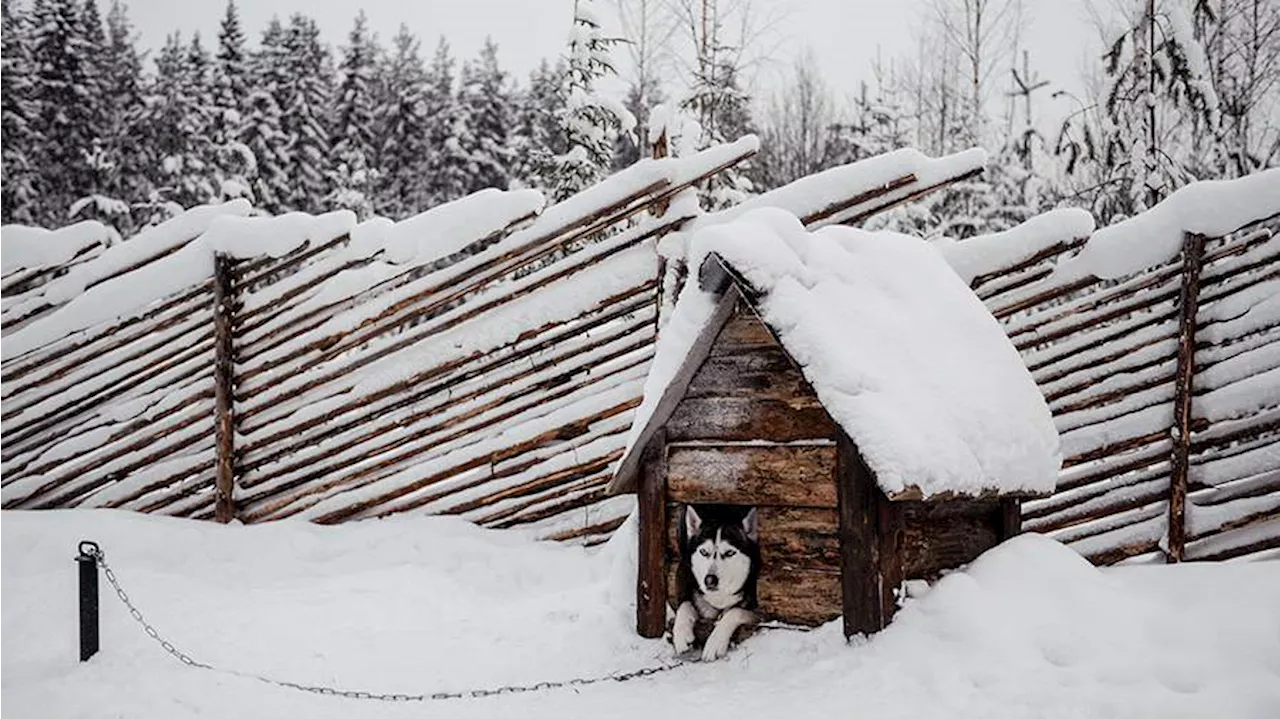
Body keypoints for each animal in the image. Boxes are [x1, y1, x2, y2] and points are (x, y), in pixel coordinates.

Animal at [670, 501, 757, 660]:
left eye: (730, 553)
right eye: (704, 552)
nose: (709, 580)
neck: (720, 599)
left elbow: (735, 611)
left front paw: (715, 643)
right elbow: (685, 605)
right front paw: (681, 634)